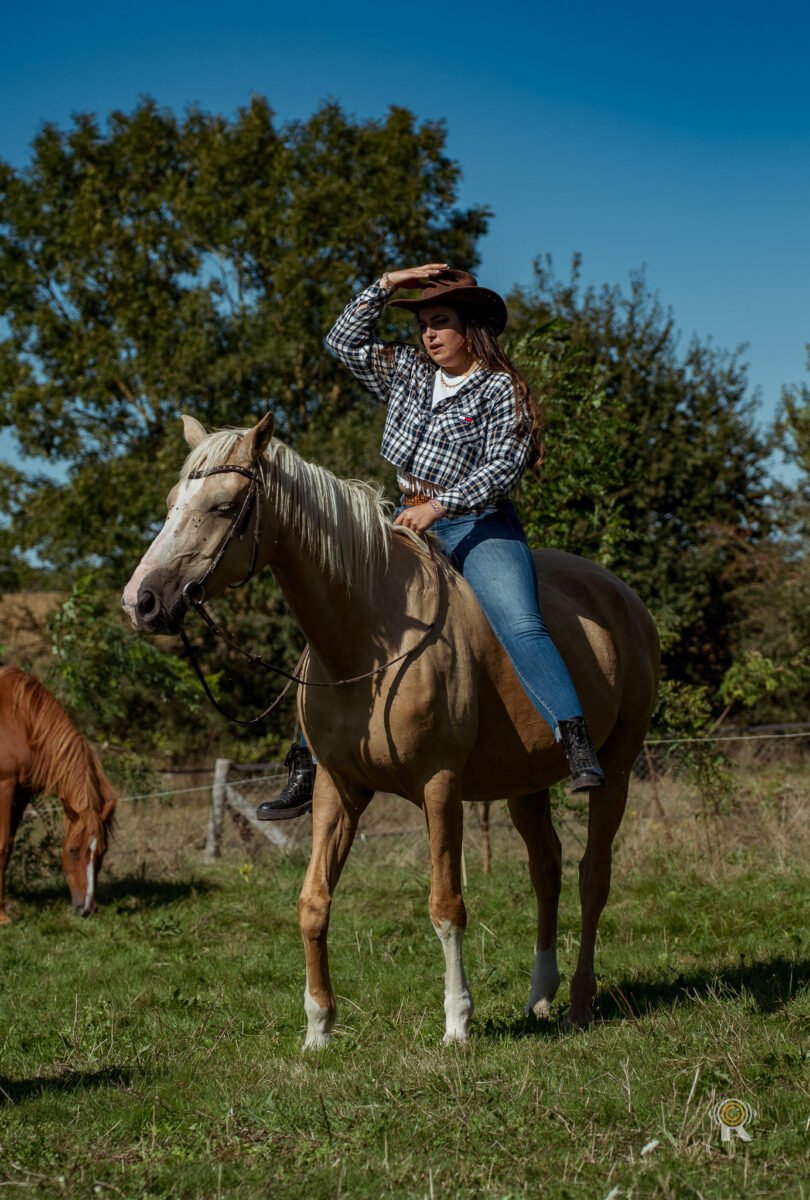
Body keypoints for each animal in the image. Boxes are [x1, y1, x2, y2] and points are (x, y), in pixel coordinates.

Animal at [0, 666, 117, 919]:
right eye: (73, 851)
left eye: (103, 851)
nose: (87, 909)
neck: (20, 721)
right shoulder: (4, 788)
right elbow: (2, 846)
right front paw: (2, 917)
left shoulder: (21, 794)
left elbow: (9, 846)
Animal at [122, 413, 660, 1047]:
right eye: (171, 503)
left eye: (225, 506)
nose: (141, 601)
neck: (373, 638)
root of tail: (623, 598)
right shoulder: (337, 788)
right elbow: (313, 901)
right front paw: (318, 1029)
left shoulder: (440, 786)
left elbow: (446, 905)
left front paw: (457, 1023)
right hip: (525, 784)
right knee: (546, 870)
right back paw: (540, 997)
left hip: (617, 766)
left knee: (592, 876)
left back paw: (579, 1000)